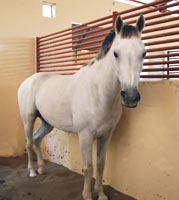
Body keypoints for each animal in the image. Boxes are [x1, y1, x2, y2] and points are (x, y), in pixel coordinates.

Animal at [17, 15, 145, 200]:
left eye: (144, 53)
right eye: (116, 53)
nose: (130, 97)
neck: (98, 92)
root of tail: (28, 81)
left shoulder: (106, 135)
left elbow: (100, 165)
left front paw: (101, 194)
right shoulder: (85, 136)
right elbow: (88, 167)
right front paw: (87, 195)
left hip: (47, 123)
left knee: (36, 139)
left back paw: (41, 168)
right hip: (28, 119)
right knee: (28, 142)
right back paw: (32, 171)